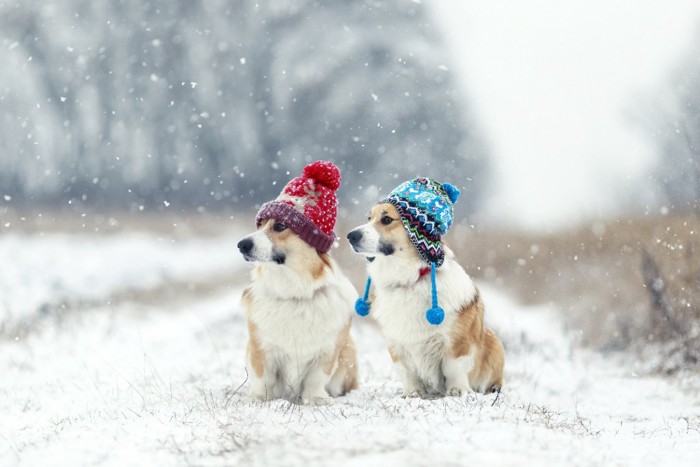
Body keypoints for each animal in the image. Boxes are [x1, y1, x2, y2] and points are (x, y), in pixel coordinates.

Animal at [239, 162, 360, 406]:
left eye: (279, 226)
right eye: (260, 225)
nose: (241, 244)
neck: (294, 291)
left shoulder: (327, 350)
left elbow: (316, 377)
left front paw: (316, 399)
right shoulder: (260, 347)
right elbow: (262, 376)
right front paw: (257, 398)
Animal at [348, 178, 504, 398]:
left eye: (386, 219)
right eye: (369, 218)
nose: (350, 236)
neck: (411, 279)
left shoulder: (456, 342)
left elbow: (454, 367)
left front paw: (457, 391)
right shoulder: (397, 344)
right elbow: (408, 371)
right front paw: (412, 393)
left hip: (495, 343)